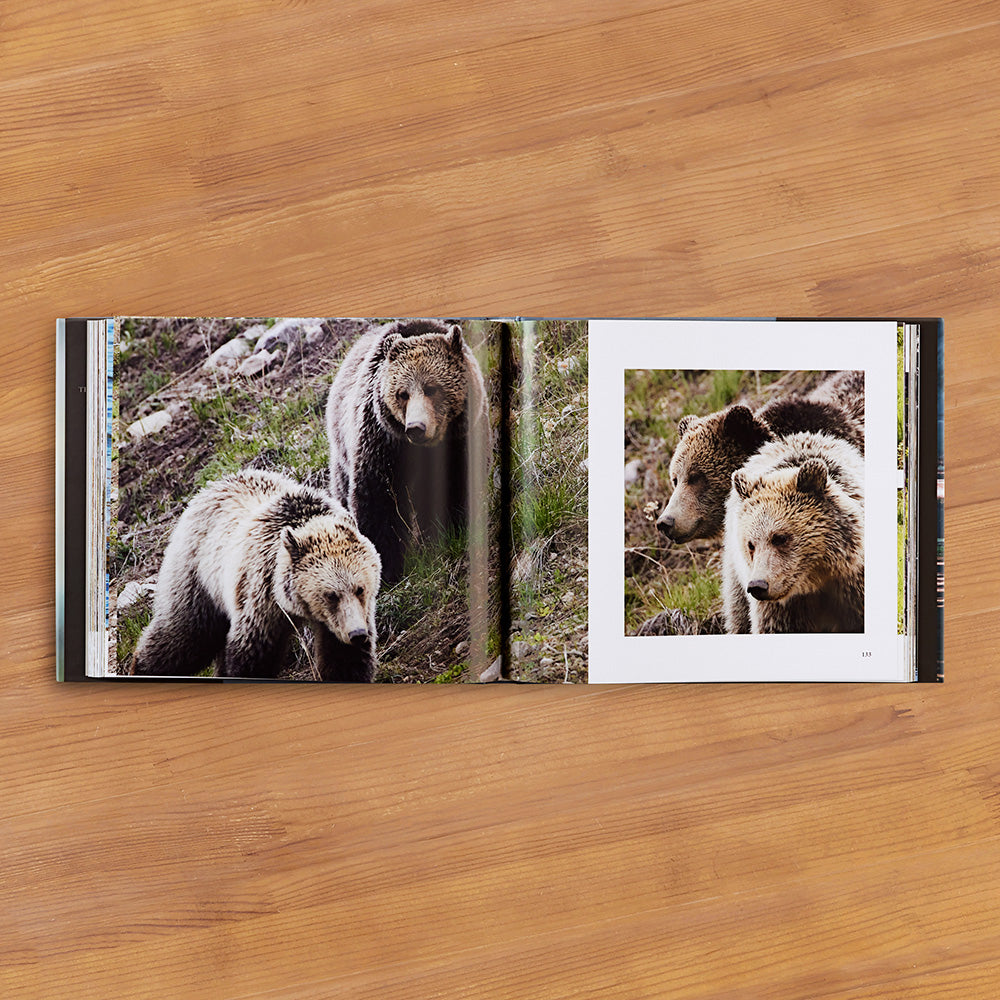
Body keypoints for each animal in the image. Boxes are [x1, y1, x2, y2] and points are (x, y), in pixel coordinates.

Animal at [130, 470, 382, 681]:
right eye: (330, 595)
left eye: (360, 589)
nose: (357, 634)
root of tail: (208, 488)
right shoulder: (261, 597)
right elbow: (252, 655)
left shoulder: (347, 618)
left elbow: (344, 659)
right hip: (197, 576)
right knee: (184, 635)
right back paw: (142, 668)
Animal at [326, 319, 488, 585]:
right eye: (402, 393)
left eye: (432, 388)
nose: (416, 428)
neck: (425, 449)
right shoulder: (383, 443)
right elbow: (378, 499)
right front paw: (387, 565)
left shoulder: (460, 441)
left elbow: (455, 486)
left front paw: (451, 532)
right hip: (342, 453)